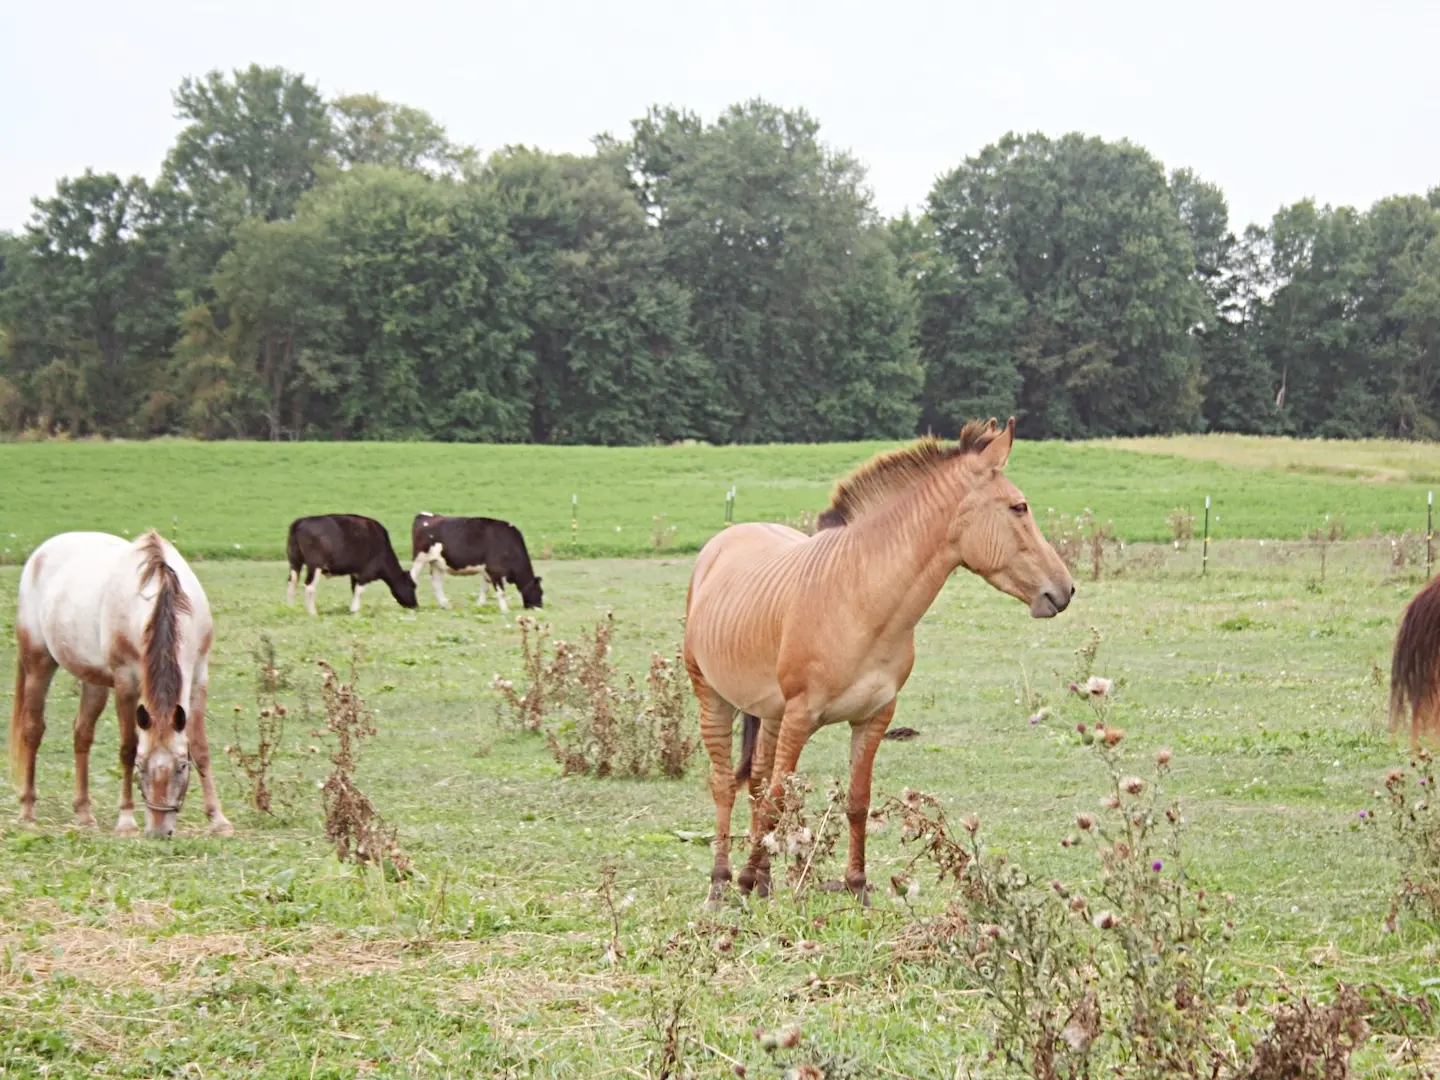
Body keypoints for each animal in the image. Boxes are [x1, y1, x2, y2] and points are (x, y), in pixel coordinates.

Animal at [10, 529, 230, 835]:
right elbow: (127, 747)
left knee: (82, 733)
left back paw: (84, 814)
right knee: (32, 731)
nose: (159, 831)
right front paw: (126, 820)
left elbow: (201, 748)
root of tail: (40, 554)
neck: (162, 595)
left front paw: (218, 819)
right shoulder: (126, 682)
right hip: (38, 663)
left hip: (94, 681)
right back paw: (28, 810)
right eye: (141, 767)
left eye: (181, 767)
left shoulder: (198, 676)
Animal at [280, 515, 417, 616]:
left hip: (294, 561)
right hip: (314, 565)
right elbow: (360, 591)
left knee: (292, 582)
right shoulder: (365, 573)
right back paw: (313, 613)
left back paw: (290, 608)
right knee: (309, 586)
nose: (415, 605)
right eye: (412, 586)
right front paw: (355, 610)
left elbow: (354, 590)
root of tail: (301, 521)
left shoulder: (354, 574)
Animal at [411, 512, 544, 613]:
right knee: (413, 577)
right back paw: (412, 605)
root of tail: (426, 515)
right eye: (540, 592)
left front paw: (479, 605)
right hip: (420, 558)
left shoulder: (486, 571)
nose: (540, 608)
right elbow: (501, 592)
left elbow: (484, 589)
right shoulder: (495, 570)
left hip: (436, 562)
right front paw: (505, 610)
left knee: (436, 582)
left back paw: (445, 605)